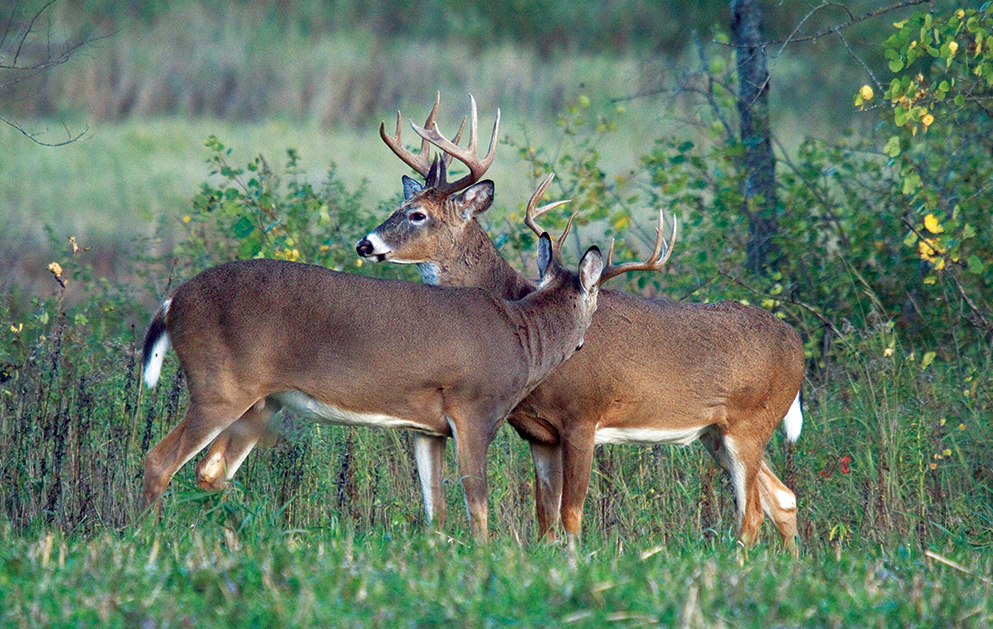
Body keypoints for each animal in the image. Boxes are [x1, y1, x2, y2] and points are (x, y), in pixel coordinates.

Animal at [138, 193, 604, 540]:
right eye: (595, 304)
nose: (585, 344)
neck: (523, 338)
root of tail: (173, 300)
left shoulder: (427, 428)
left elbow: (435, 506)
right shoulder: (474, 410)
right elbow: (478, 502)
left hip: (260, 403)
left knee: (210, 470)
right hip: (218, 387)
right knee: (159, 460)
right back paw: (146, 540)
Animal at [356, 93, 808, 548]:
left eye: (417, 215)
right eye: (398, 207)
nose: (364, 244)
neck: (524, 305)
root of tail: (796, 342)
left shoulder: (583, 417)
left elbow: (571, 515)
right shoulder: (537, 432)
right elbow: (545, 517)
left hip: (750, 423)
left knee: (752, 512)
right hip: (715, 431)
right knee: (783, 499)